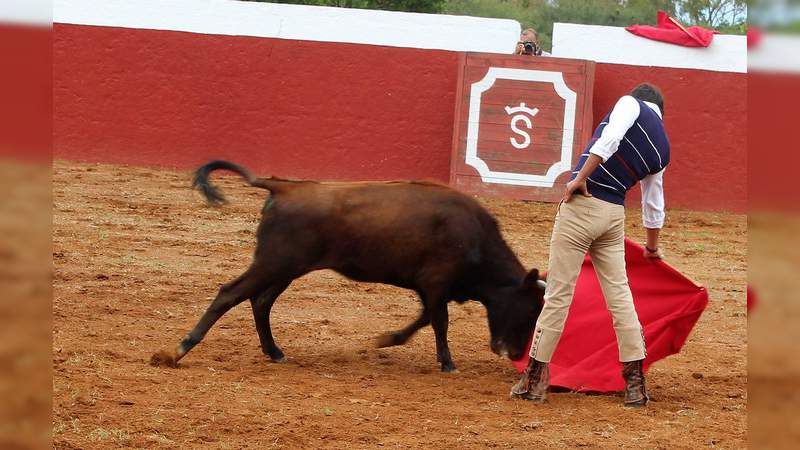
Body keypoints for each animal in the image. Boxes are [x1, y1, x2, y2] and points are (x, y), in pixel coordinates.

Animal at [152, 160, 544, 370]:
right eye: (529, 311)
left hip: (285, 269)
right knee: (229, 294)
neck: (475, 237)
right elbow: (439, 322)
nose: (514, 353)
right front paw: (447, 363)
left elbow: (424, 318)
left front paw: (388, 339)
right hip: (274, 263)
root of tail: (284, 188)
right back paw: (178, 350)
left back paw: (275, 352)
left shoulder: (430, 287)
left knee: (260, 302)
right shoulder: (437, 283)